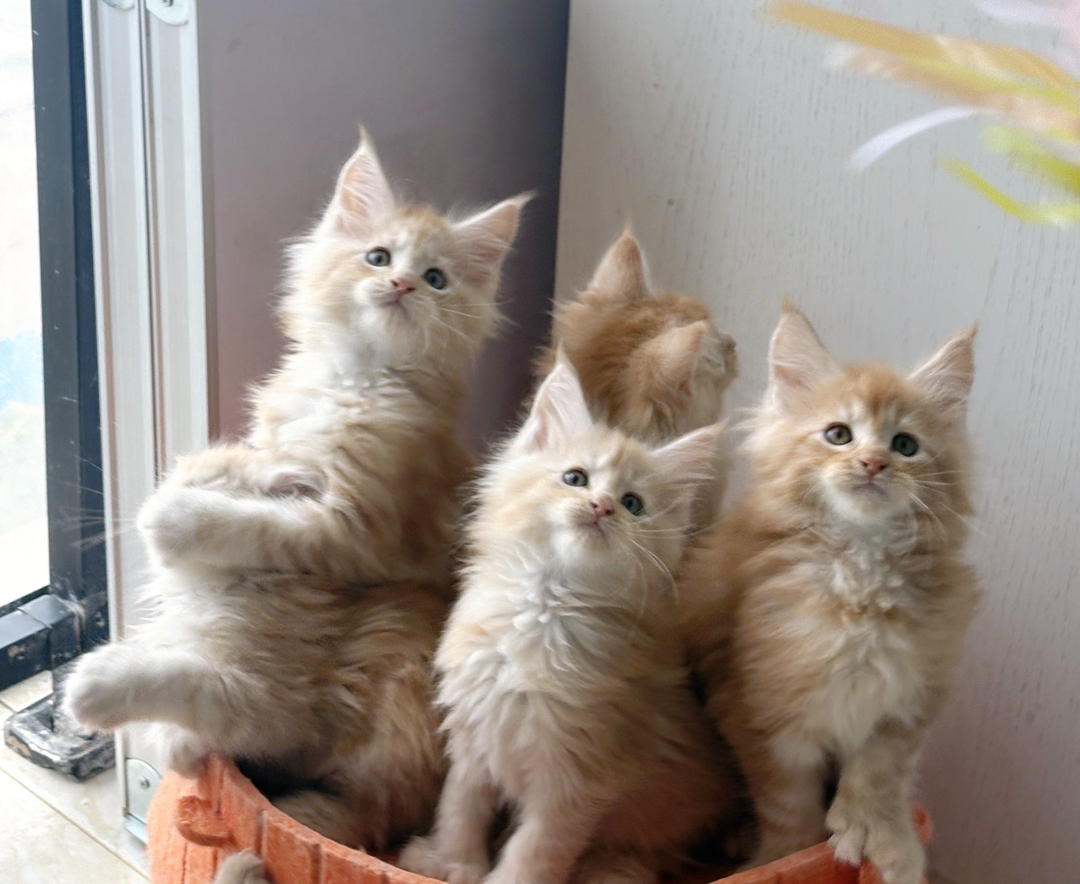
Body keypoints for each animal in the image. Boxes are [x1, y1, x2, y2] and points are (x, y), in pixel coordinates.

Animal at [62, 128, 529, 851]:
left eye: (437, 278)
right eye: (377, 256)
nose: (400, 284)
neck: (353, 377)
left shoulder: (350, 531)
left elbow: (205, 640)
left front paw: (99, 683)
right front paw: (180, 747)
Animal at [399, 355, 741, 884]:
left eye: (633, 503)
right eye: (576, 478)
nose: (602, 506)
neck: (544, 608)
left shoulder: (576, 782)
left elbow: (535, 851)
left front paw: (499, 879)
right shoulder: (475, 738)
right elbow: (460, 808)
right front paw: (453, 862)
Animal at [678, 303, 980, 884]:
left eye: (904, 445)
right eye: (839, 434)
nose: (874, 463)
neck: (859, 582)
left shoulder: (912, 695)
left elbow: (881, 772)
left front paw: (885, 840)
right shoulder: (758, 705)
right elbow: (786, 803)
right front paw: (785, 859)